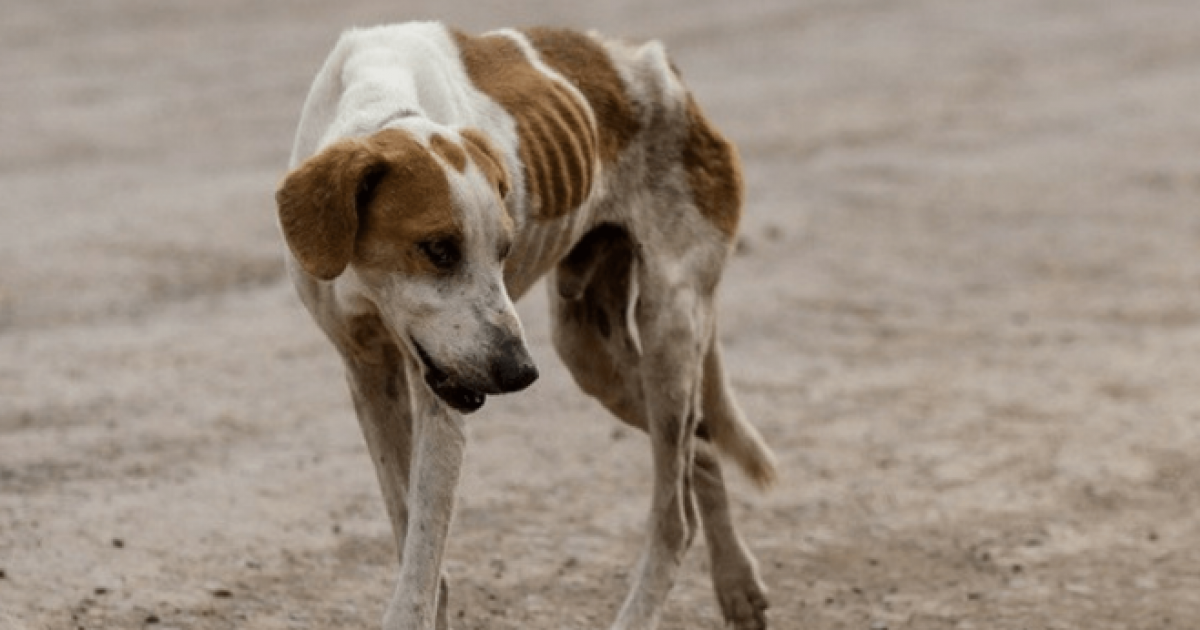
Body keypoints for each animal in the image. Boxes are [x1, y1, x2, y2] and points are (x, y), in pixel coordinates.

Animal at [273, 20, 777, 628]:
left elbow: (421, 561)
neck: (381, 101)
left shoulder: (439, 399)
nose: (519, 373)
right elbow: (417, 549)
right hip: (591, 355)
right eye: (438, 249)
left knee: (673, 519)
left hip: (668, 329)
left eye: (505, 250)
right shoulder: (369, 374)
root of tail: (664, 68)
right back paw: (737, 584)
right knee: (699, 442)